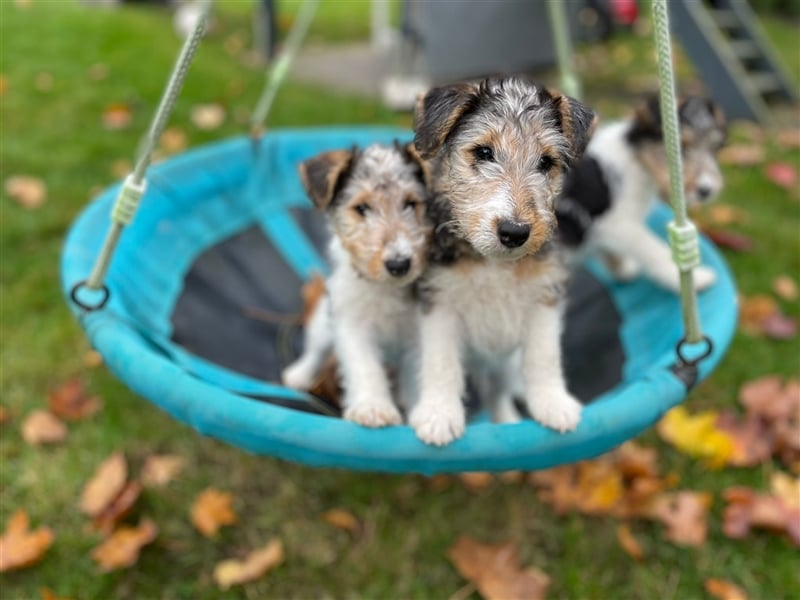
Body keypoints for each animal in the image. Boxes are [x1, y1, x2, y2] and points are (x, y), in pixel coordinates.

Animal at [410, 76, 596, 446]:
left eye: (546, 162)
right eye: (483, 152)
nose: (515, 232)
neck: (492, 263)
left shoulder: (545, 295)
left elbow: (543, 355)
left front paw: (553, 403)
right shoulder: (438, 300)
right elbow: (441, 361)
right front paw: (439, 414)